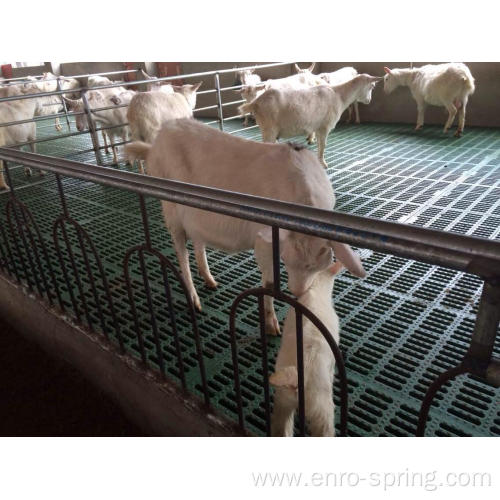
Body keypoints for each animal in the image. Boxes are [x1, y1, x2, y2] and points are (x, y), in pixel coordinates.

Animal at [127, 118, 366, 334]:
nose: (297, 291)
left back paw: (209, 279)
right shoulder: (265, 241)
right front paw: (271, 325)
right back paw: (194, 298)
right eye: (287, 260)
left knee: (197, 240)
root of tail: (155, 144)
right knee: (180, 250)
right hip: (170, 206)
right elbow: (269, 282)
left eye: (318, 265)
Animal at [240, 74, 380, 167]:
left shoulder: (317, 127)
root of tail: (255, 103)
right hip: (269, 129)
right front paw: (323, 164)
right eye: (372, 86)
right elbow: (323, 145)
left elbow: (319, 145)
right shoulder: (324, 126)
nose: (369, 101)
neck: (339, 95)